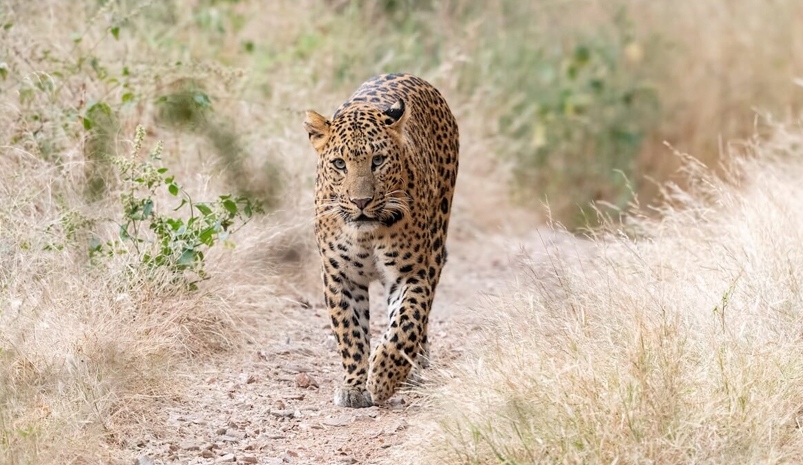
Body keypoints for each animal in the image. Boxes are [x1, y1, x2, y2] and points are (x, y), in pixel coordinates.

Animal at [304, 72, 458, 406]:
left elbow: (407, 324)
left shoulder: (413, 272)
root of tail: (408, 75)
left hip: (437, 239)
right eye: (339, 164)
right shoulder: (340, 276)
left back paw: (414, 367)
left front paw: (384, 378)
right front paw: (353, 386)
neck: (368, 234)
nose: (361, 201)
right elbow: (350, 332)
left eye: (378, 160)